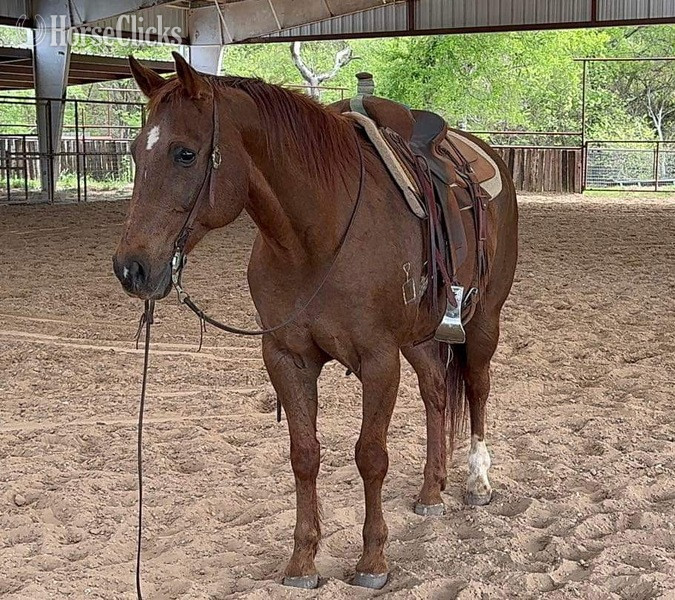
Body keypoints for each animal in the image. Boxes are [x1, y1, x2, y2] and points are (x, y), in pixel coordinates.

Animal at [113, 52, 518, 590]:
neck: (317, 237)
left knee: (475, 388)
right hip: (420, 336)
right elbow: (304, 455)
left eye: (184, 153)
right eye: (136, 153)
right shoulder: (288, 357)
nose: (131, 268)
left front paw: (372, 561)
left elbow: (370, 455)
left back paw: (477, 483)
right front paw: (302, 562)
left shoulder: (378, 360)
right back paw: (432, 491)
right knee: (435, 391)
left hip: (482, 321)